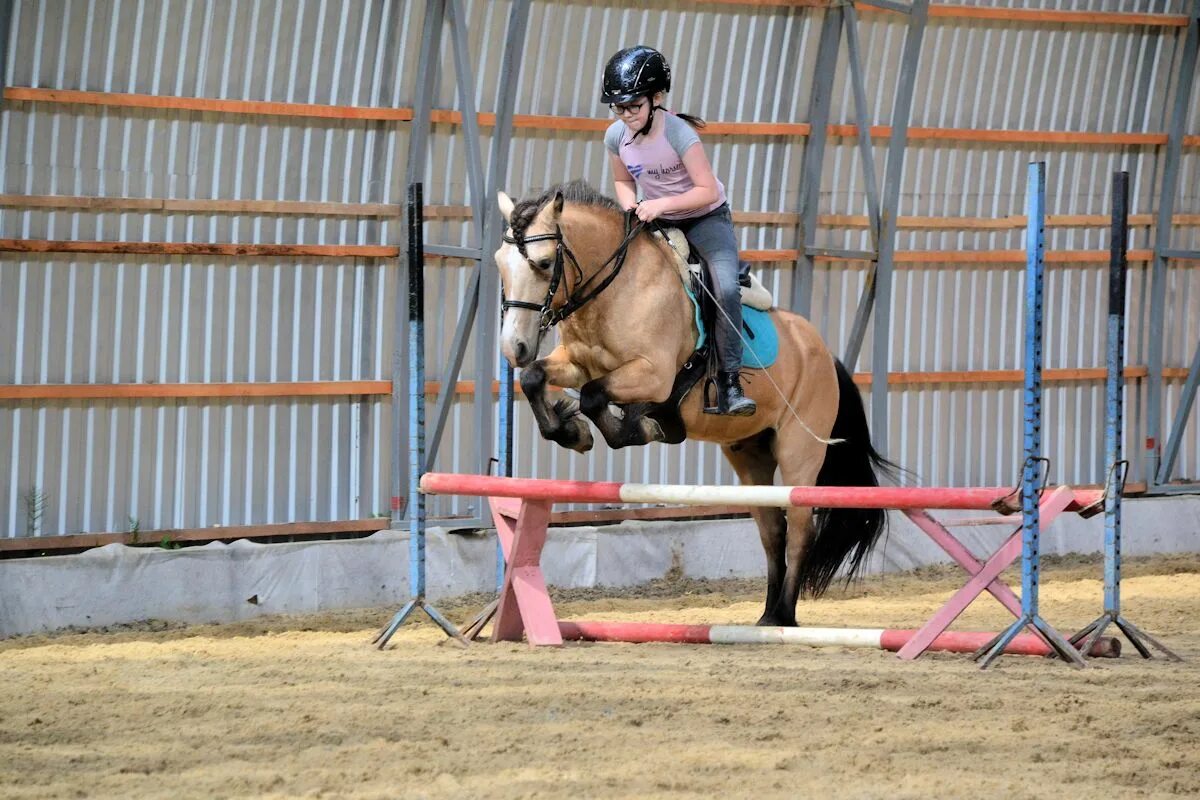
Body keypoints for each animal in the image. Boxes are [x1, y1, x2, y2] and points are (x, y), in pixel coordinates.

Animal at [489, 179, 892, 623]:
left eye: (544, 264)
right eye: (499, 264)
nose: (513, 347)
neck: (616, 291)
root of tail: (823, 352)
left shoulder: (654, 376)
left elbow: (595, 398)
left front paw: (638, 426)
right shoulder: (577, 363)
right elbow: (535, 378)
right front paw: (572, 431)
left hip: (799, 452)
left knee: (801, 528)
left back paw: (784, 615)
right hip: (750, 455)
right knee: (773, 531)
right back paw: (766, 617)